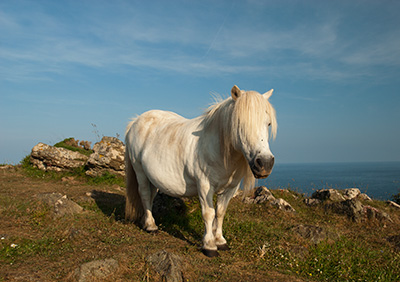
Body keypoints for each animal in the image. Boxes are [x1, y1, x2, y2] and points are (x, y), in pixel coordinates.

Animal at [126, 85, 276, 256]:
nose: (265, 163)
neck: (216, 147)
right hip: (140, 171)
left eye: (268, 124)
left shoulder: (230, 189)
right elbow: (209, 213)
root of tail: (136, 121)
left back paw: (147, 222)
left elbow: (220, 212)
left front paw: (220, 241)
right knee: (144, 194)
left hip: (153, 177)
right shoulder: (204, 186)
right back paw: (151, 226)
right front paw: (209, 245)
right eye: (240, 123)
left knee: (150, 196)